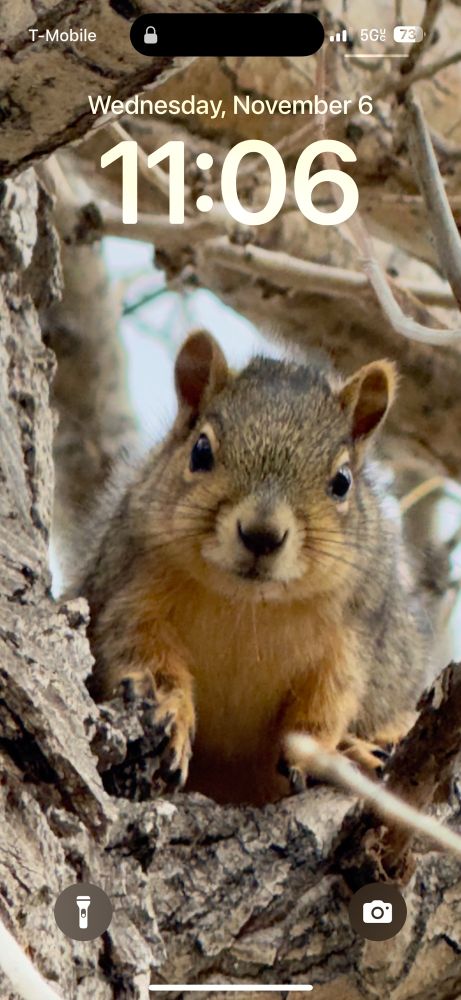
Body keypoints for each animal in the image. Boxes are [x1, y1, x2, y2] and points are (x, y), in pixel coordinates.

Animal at [77, 330, 435, 805]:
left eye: (342, 481)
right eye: (200, 451)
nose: (262, 535)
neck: (247, 606)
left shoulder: (353, 635)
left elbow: (328, 701)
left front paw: (321, 753)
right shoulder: (129, 593)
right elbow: (144, 656)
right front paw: (170, 711)